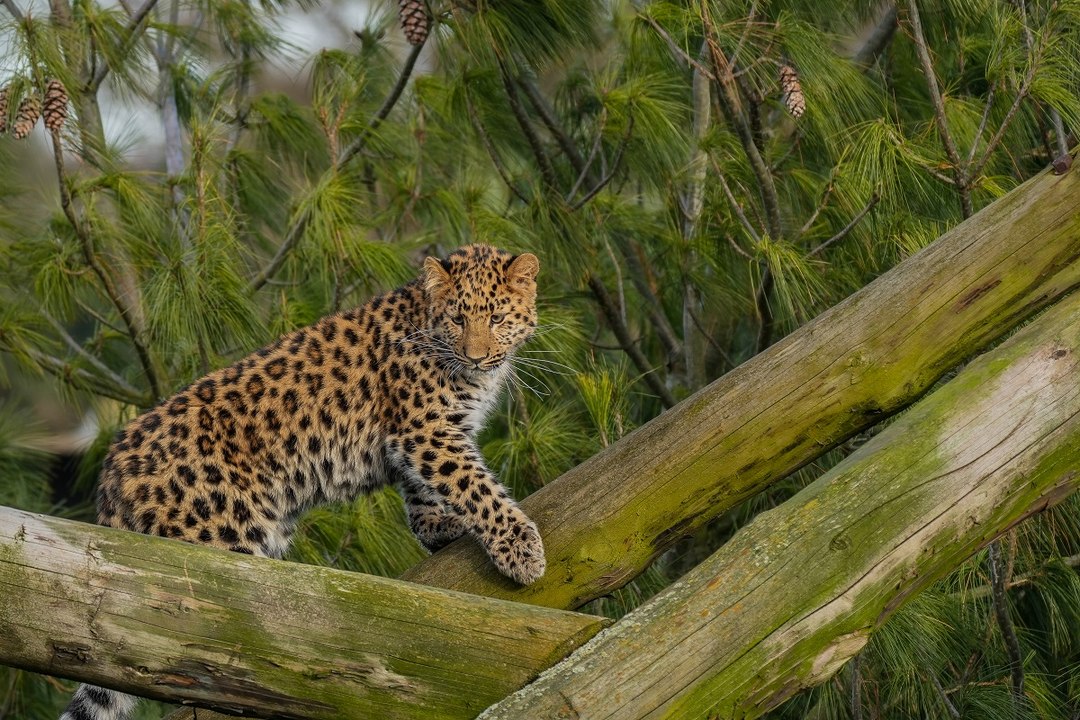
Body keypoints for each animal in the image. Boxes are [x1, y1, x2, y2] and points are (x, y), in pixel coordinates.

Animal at [61, 243, 546, 720]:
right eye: (458, 319)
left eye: (496, 318)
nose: (476, 357)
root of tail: (110, 476)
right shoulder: (426, 432)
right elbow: (475, 487)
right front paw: (521, 549)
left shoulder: (419, 439)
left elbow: (424, 494)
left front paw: (441, 527)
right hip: (217, 546)